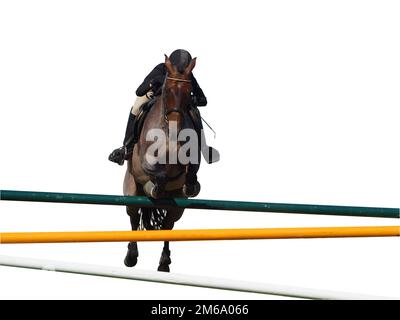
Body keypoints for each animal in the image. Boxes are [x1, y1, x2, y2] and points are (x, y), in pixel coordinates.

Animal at [122, 55, 202, 272]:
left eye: (189, 92)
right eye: (167, 90)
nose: (175, 125)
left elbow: (190, 169)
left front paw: (191, 183)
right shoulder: (143, 165)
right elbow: (157, 172)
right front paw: (157, 185)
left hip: (178, 206)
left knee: (168, 226)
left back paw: (164, 263)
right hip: (131, 192)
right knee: (133, 218)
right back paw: (131, 256)